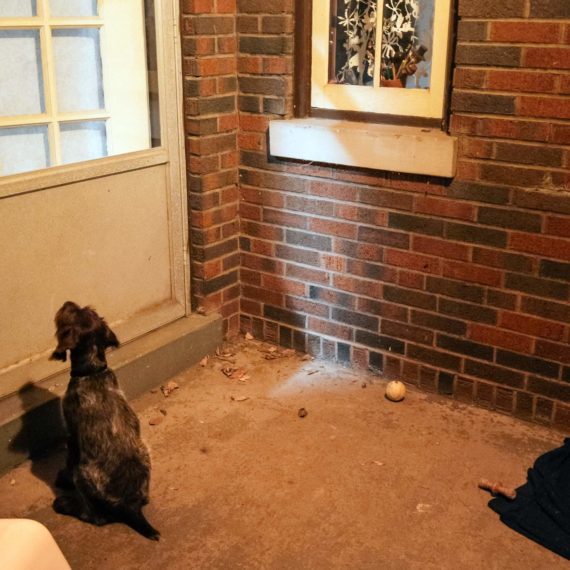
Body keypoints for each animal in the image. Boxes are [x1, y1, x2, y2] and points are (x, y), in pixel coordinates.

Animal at [50, 300, 159, 540]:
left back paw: (65, 504)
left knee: (96, 517)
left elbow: (67, 462)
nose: (67, 302)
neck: (92, 371)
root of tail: (130, 505)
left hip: (83, 475)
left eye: (69, 314)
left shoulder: (71, 435)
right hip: (146, 454)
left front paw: (62, 480)